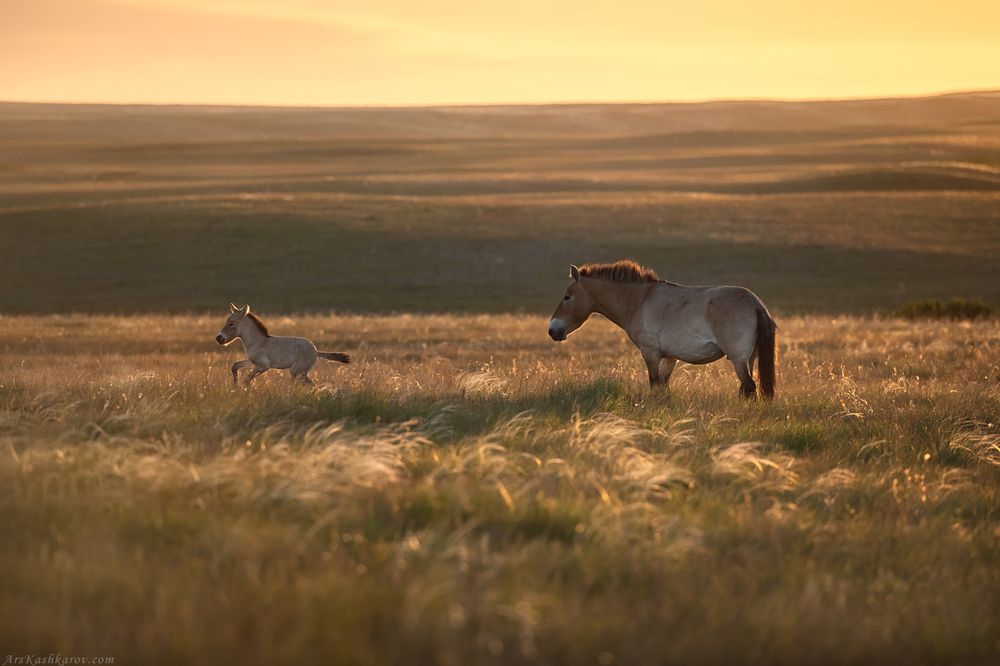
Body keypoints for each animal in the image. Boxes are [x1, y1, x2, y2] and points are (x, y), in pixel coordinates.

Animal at [215, 304, 350, 385]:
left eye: (231, 323)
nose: (219, 339)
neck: (259, 342)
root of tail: (316, 352)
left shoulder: (263, 366)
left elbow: (247, 379)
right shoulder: (252, 362)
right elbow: (236, 366)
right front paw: (235, 385)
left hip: (296, 373)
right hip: (302, 374)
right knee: (311, 385)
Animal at [547, 260, 777, 399]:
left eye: (567, 297)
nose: (552, 330)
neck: (640, 300)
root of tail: (756, 304)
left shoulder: (650, 353)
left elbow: (654, 384)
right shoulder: (670, 357)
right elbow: (664, 387)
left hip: (739, 359)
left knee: (749, 387)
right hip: (750, 358)